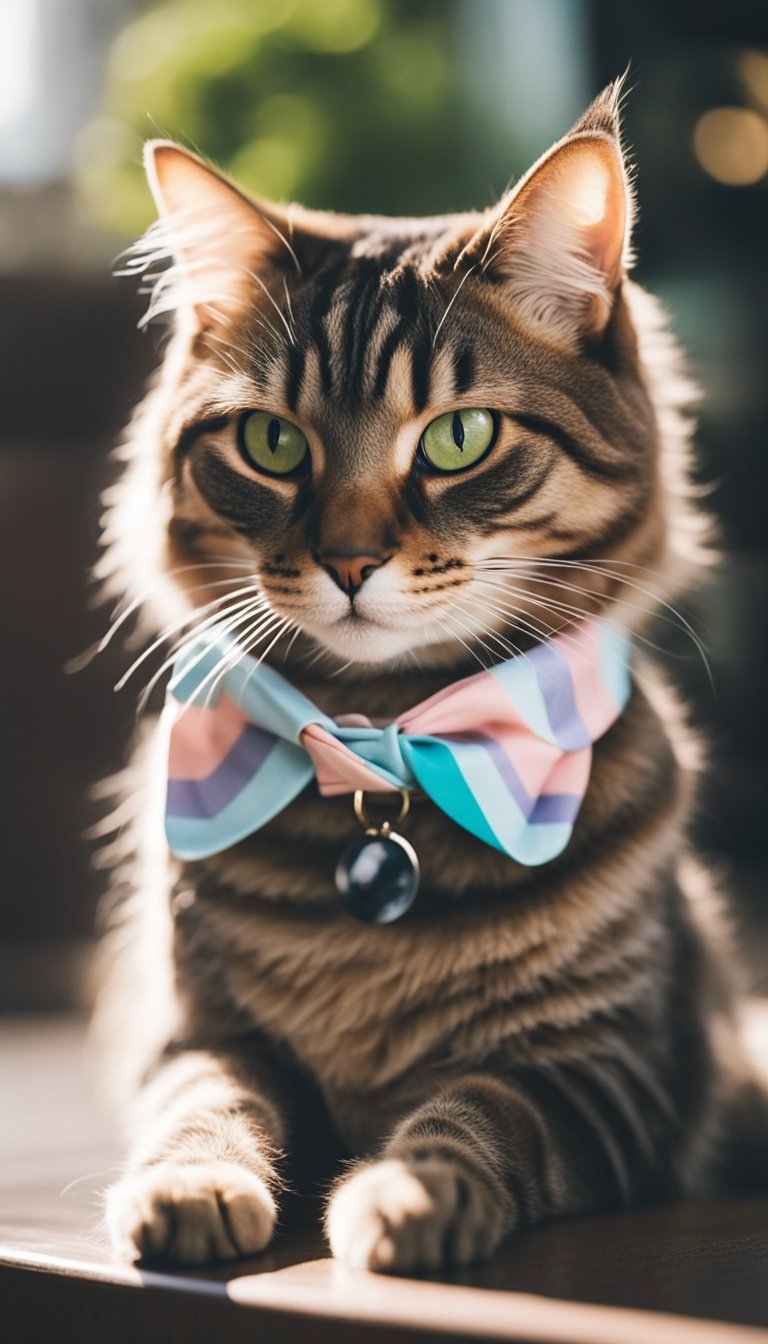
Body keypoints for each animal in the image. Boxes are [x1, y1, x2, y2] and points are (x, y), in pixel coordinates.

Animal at [96, 78, 768, 1274]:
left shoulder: (605, 1071)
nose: (349, 561)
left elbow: (481, 1112)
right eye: (272, 444)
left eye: (458, 439)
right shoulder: (192, 1032)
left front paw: (405, 1196)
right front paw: (189, 1187)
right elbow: (205, 1103)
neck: (384, 733)